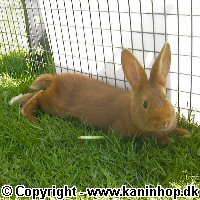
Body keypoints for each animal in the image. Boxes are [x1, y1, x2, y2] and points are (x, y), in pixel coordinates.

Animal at [10, 43, 191, 144]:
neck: (131, 111)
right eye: (145, 104)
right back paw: (29, 115)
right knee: (39, 95)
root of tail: (55, 80)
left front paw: (185, 133)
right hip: (53, 106)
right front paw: (169, 140)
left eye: (166, 98)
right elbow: (156, 138)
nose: (165, 123)